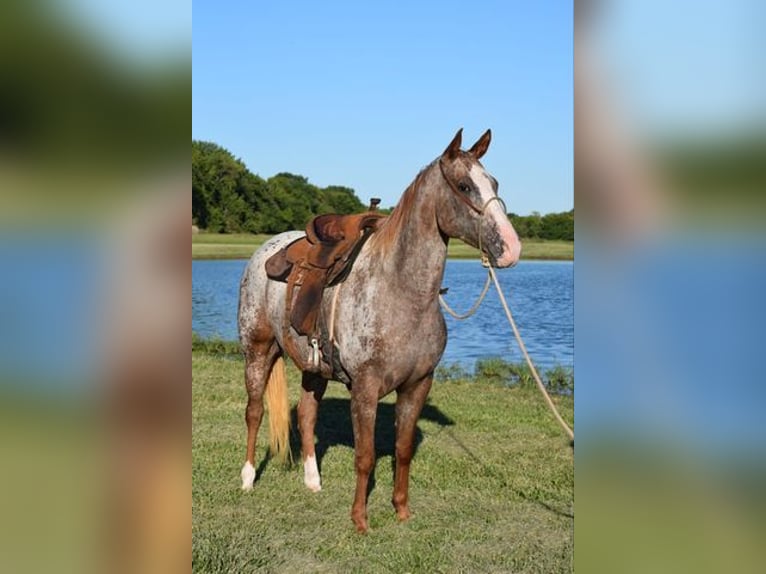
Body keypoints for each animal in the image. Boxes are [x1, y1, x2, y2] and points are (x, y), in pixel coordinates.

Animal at [237, 130, 520, 536]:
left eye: (494, 183)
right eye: (465, 185)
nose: (511, 248)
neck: (401, 291)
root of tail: (266, 250)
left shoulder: (418, 385)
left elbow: (402, 451)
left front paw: (401, 510)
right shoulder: (366, 389)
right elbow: (365, 456)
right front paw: (360, 519)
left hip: (313, 367)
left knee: (306, 414)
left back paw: (312, 480)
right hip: (257, 350)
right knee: (255, 411)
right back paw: (247, 478)